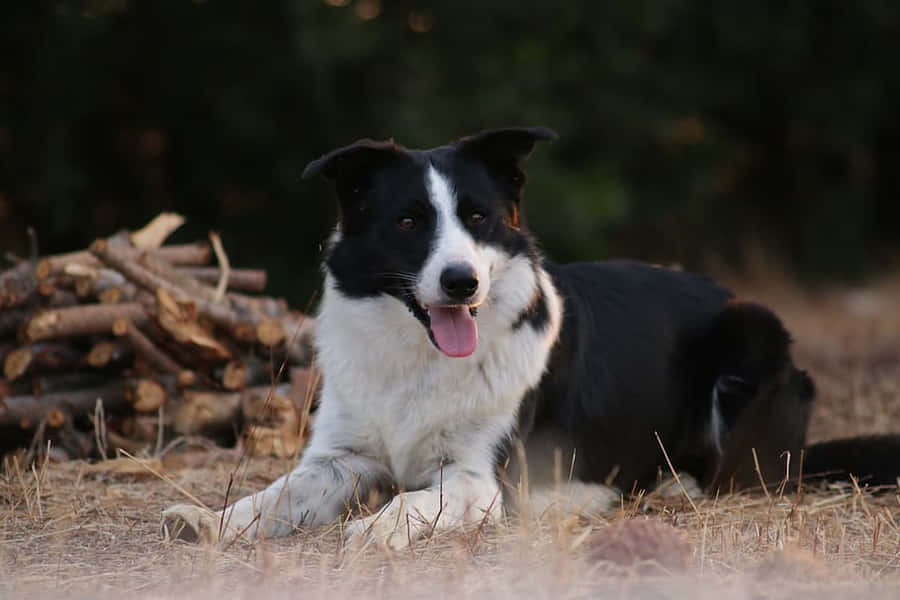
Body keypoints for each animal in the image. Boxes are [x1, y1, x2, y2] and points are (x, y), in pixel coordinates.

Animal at [162, 126, 900, 548]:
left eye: (479, 218)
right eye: (408, 221)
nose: (461, 282)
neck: (416, 360)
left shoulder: (478, 482)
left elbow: (408, 500)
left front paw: (374, 530)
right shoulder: (338, 460)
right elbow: (276, 495)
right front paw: (212, 522)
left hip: (754, 332)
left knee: (742, 474)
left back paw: (659, 489)